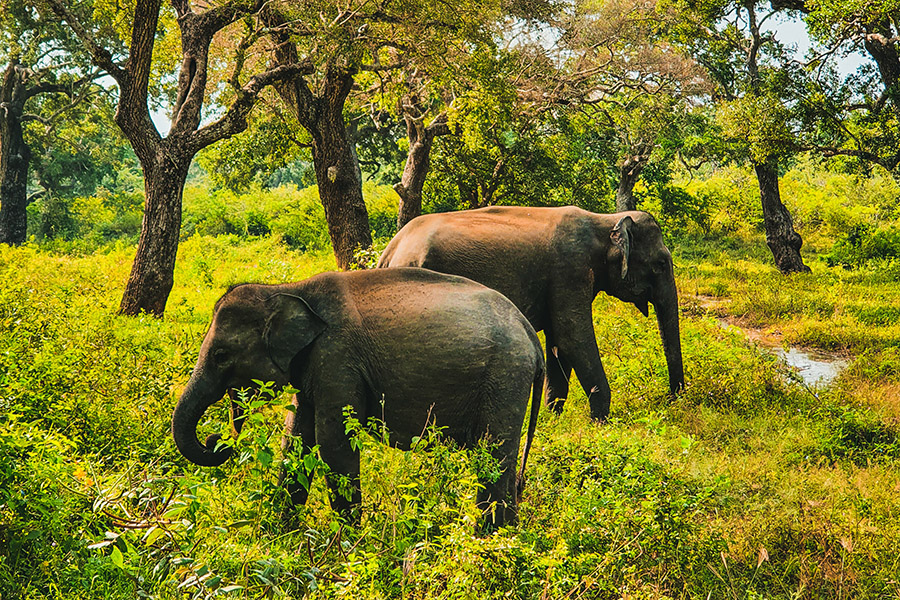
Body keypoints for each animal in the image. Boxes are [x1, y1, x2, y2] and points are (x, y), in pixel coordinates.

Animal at [171, 267, 545, 530]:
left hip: (505, 375)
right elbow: (296, 441)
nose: (216, 438)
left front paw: (346, 547)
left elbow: (334, 444)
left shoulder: (337, 357)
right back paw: (509, 537)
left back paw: (486, 541)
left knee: (493, 454)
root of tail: (529, 332)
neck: (288, 288)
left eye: (221, 355)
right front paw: (279, 535)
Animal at [377, 206, 685, 421]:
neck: (605, 220)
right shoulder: (569, 270)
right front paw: (601, 422)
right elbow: (573, 336)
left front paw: (553, 418)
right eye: (660, 264)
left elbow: (559, 343)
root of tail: (390, 251)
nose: (673, 399)